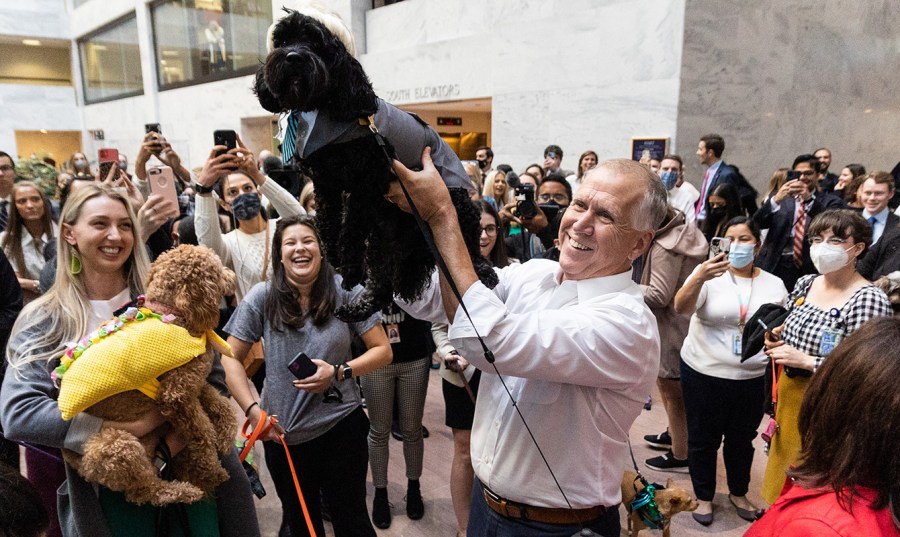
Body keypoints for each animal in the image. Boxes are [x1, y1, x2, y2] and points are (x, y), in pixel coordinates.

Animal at [255, 4, 500, 320]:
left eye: (315, 42)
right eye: (283, 41)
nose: (293, 57)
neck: (324, 110)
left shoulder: (369, 180)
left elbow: (351, 225)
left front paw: (348, 265)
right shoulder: (326, 183)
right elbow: (327, 220)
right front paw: (333, 255)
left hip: (458, 204)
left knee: (470, 247)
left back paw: (484, 272)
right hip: (384, 236)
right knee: (383, 283)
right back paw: (360, 307)